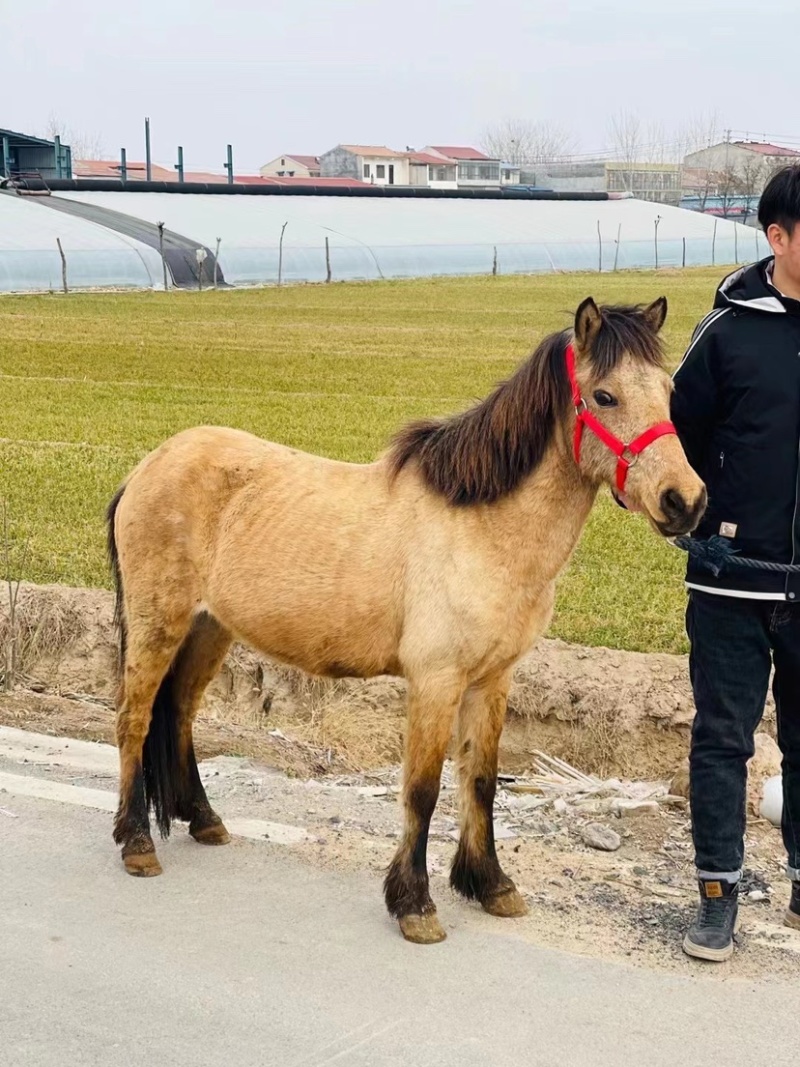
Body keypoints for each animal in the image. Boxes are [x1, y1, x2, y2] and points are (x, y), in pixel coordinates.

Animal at [106, 295, 706, 944]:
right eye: (605, 396)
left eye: (669, 390)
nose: (685, 501)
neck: (483, 529)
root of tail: (148, 467)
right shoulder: (436, 682)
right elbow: (422, 791)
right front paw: (415, 904)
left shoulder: (492, 682)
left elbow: (481, 782)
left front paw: (491, 885)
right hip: (157, 624)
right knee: (135, 719)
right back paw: (137, 843)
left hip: (210, 628)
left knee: (180, 712)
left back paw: (204, 820)